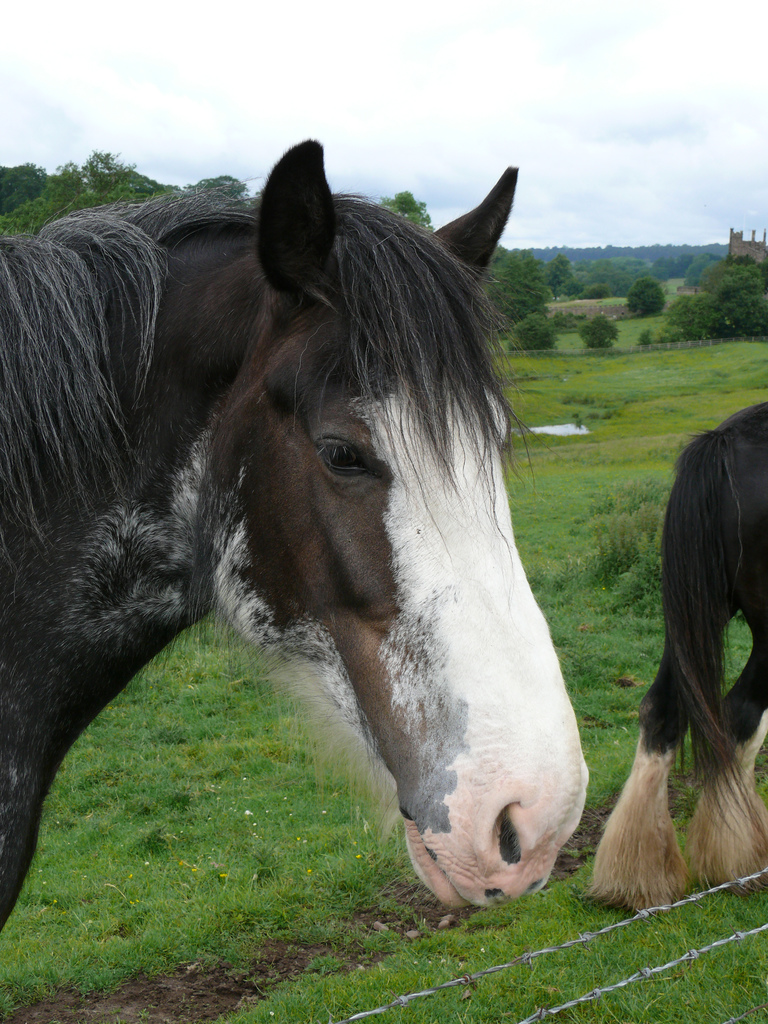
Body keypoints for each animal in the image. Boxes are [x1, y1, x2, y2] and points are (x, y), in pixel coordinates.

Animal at [591, 402, 768, 910]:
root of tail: (726, 441)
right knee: (741, 713)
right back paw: (738, 858)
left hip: (694, 613)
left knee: (660, 710)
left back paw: (636, 874)